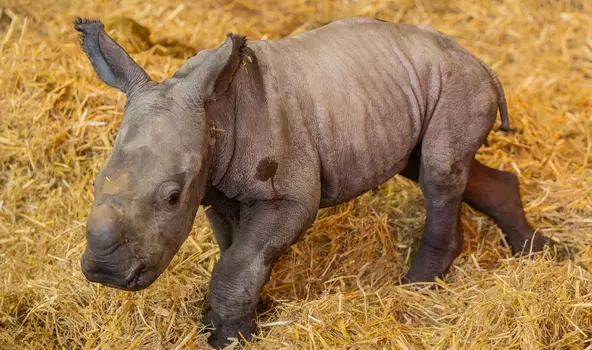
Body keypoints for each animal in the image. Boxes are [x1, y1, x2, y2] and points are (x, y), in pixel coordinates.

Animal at [76, 15, 548, 348]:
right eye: (95, 185)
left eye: (172, 197)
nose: (105, 273)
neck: (213, 111)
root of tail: (481, 62)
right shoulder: (217, 190)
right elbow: (236, 255)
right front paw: (229, 323)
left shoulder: (288, 197)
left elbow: (236, 264)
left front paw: (228, 339)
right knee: (438, 166)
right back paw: (537, 253)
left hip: (455, 82)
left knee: (438, 173)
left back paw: (417, 286)